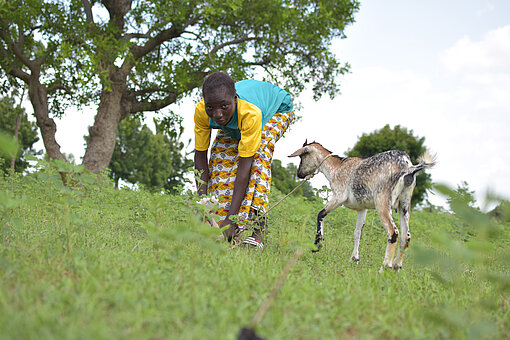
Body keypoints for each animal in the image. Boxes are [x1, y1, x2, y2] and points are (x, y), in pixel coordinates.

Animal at [288, 141, 436, 270]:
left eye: (302, 156)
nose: (299, 174)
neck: (337, 167)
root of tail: (408, 166)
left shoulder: (339, 195)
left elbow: (321, 214)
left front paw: (317, 245)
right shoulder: (362, 208)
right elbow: (357, 233)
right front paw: (354, 259)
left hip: (382, 200)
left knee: (393, 233)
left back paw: (384, 268)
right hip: (404, 203)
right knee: (406, 236)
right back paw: (396, 267)